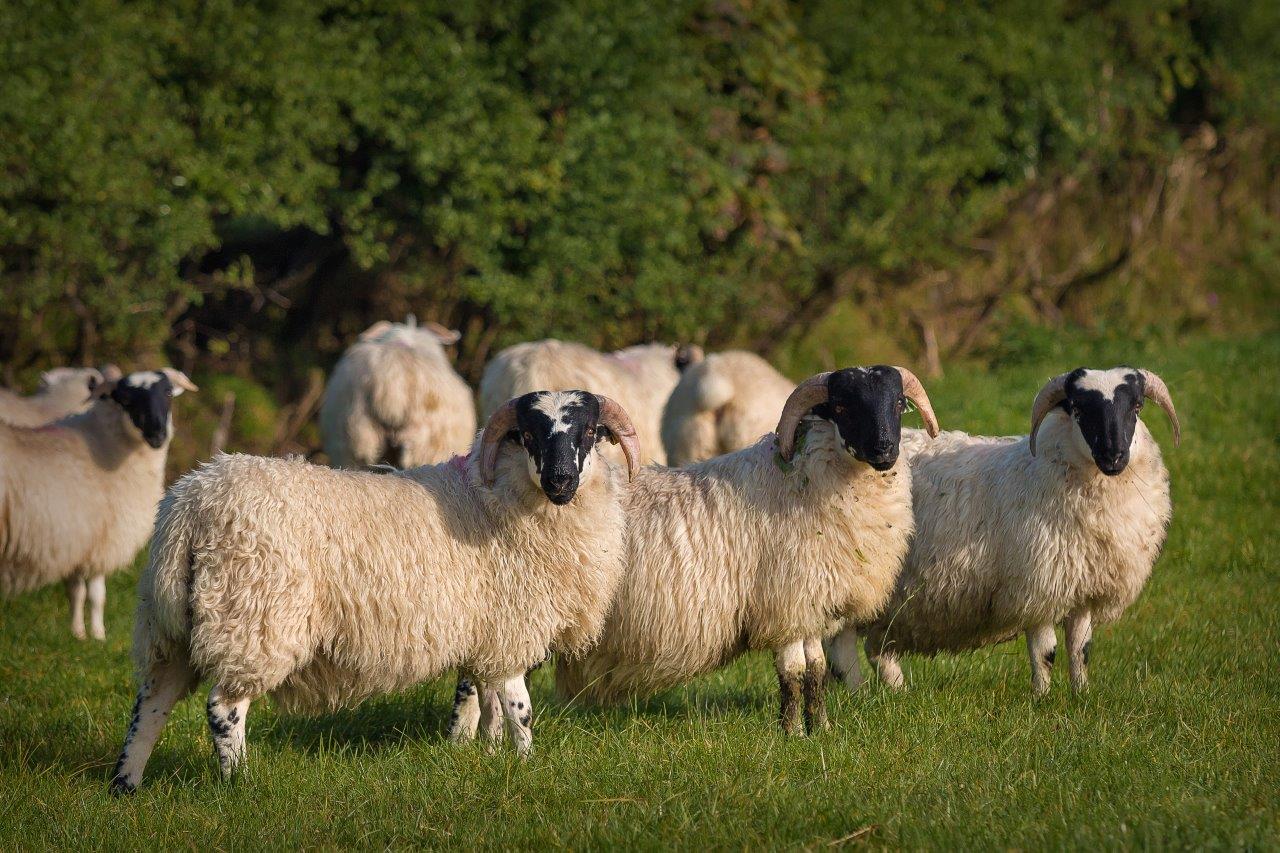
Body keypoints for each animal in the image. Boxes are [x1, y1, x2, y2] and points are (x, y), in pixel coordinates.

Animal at [0, 368, 196, 640]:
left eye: (167, 392)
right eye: (125, 399)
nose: (157, 435)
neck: (104, 443)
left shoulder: (77, 542)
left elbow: (77, 592)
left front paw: (79, 632)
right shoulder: (100, 541)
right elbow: (93, 594)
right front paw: (93, 634)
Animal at [107, 390, 642, 794]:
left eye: (588, 433)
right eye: (529, 435)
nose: (561, 479)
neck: (496, 497)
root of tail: (190, 505)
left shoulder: (483, 629)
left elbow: (474, 698)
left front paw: (474, 753)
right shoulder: (512, 626)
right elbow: (518, 707)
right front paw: (526, 762)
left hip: (171, 625)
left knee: (150, 705)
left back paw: (125, 786)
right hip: (253, 620)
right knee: (224, 709)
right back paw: (240, 784)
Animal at [454, 366, 937, 737]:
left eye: (898, 403)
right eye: (841, 407)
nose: (885, 450)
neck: (801, 479)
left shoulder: (806, 605)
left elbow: (815, 672)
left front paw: (821, 730)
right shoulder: (783, 605)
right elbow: (793, 674)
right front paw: (792, 735)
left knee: (487, 676)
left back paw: (482, 744)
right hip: (513, 607)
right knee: (479, 680)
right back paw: (469, 743)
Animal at [825, 366, 1180, 697]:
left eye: (1136, 406)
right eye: (1079, 408)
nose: (1113, 456)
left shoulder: (1081, 588)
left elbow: (1081, 650)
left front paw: (1081, 694)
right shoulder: (1038, 586)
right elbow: (1045, 652)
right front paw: (1042, 698)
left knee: (878, 648)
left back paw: (897, 691)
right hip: (849, 573)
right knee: (844, 648)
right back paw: (858, 695)